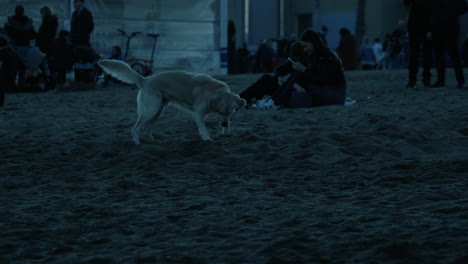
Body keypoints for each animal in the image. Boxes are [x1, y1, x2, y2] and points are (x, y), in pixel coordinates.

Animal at [97, 59, 247, 144]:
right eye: (221, 111)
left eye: (232, 111)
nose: (224, 123)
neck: (215, 91)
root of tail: (145, 79)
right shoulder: (198, 114)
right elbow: (203, 129)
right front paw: (208, 140)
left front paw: (226, 132)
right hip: (150, 111)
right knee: (135, 129)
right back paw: (137, 144)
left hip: (157, 111)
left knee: (146, 129)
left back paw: (153, 142)